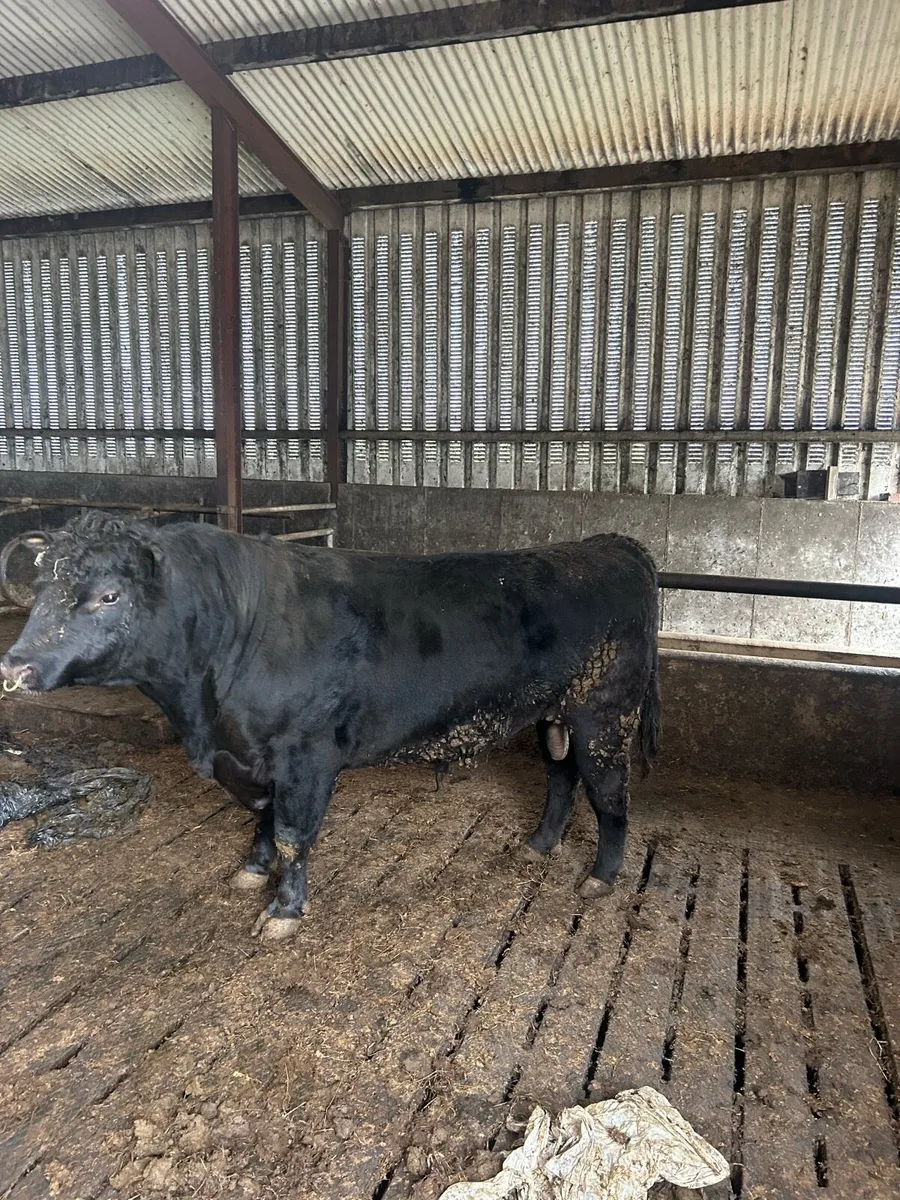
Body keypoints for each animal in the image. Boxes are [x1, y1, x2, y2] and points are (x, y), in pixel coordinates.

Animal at [0, 513, 660, 941]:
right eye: (41, 587)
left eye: (109, 595)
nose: (16, 665)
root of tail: (607, 544)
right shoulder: (252, 755)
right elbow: (264, 819)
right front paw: (252, 870)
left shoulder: (305, 755)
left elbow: (294, 832)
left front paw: (284, 911)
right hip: (555, 714)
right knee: (560, 777)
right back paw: (539, 843)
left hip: (605, 715)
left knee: (610, 794)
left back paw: (601, 877)